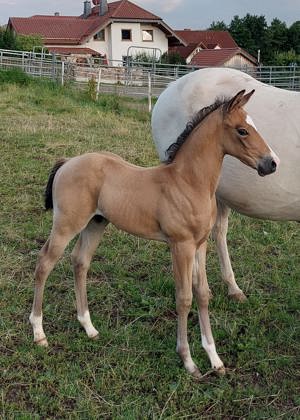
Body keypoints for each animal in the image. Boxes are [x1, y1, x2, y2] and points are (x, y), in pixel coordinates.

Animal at [29, 90, 278, 378]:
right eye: (242, 130)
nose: (271, 163)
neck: (188, 183)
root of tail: (68, 162)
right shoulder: (180, 246)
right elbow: (184, 298)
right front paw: (189, 362)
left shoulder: (200, 245)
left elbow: (203, 294)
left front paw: (215, 360)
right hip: (67, 224)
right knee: (44, 263)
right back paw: (39, 333)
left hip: (96, 223)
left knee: (80, 262)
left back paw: (89, 327)